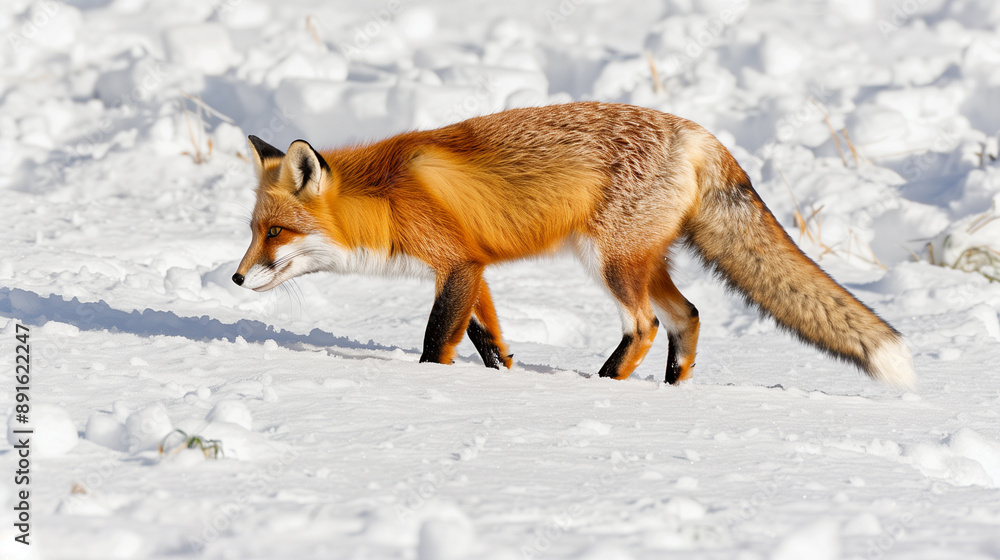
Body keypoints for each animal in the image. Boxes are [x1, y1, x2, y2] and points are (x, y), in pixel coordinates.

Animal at [233, 101, 915, 388]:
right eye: (252, 231)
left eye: (277, 233)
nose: (235, 279)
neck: (385, 195)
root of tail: (698, 133)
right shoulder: (474, 270)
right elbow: (487, 336)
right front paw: (502, 376)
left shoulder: (456, 263)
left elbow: (435, 341)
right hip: (641, 260)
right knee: (687, 316)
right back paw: (670, 390)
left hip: (610, 262)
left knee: (644, 324)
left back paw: (603, 384)